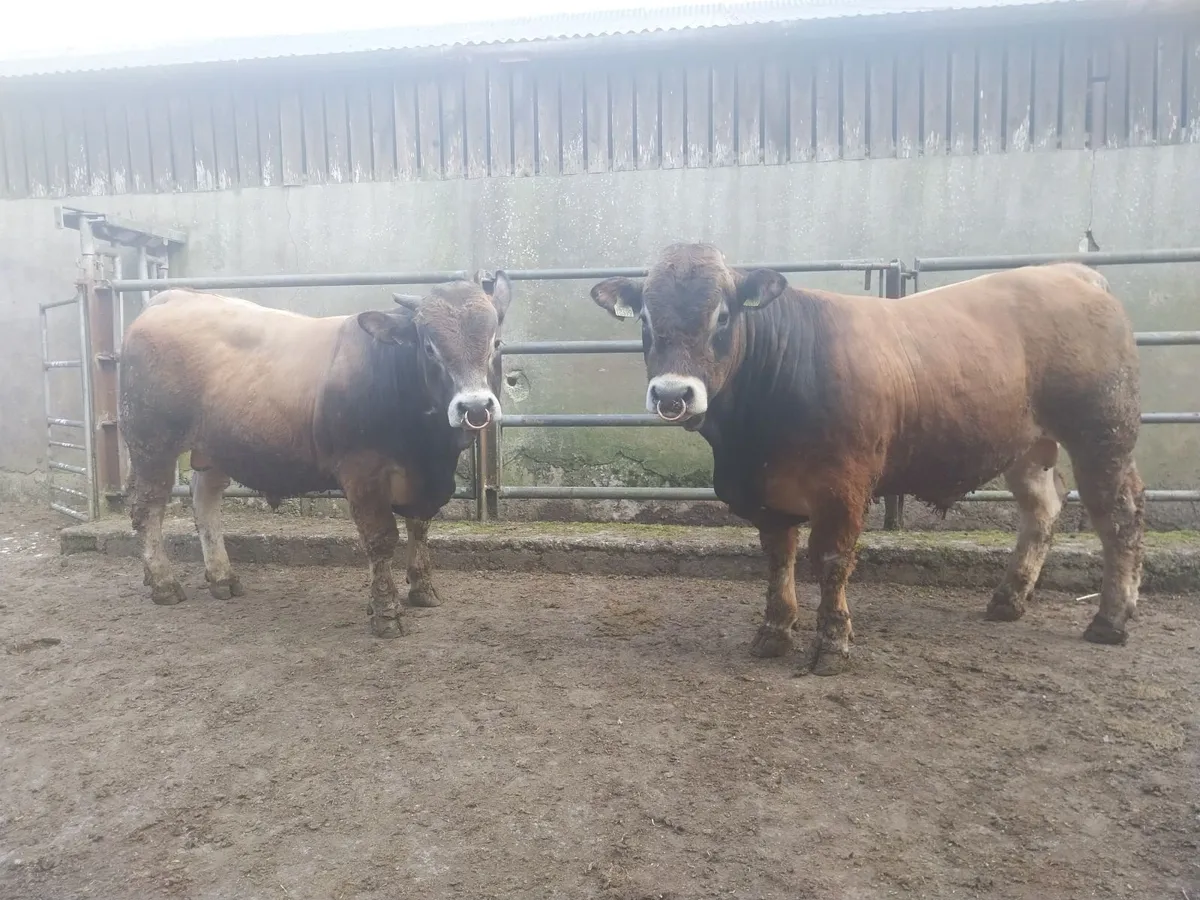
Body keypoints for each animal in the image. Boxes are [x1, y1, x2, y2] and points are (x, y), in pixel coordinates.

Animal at [119, 273, 514, 638]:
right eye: (430, 347)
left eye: (496, 343)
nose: (474, 407)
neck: (428, 449)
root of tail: (172, 297)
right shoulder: (362, 472)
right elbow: (381, 539)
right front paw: (385, 612)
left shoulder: (424, 479)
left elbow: (420, 526)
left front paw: (422, 588)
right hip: (150, 441)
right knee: (147, 508)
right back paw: (164, 584)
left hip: (216, 448)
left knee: (205, 503)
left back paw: (222, 578)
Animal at [590, 243, 1143, 676]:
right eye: (645, 319)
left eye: (722, 316)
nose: (672, 394)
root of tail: (1071, 272)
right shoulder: (768, 496)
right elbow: (779, 557)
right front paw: (774, 631)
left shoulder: (844, 487)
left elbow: (832, 560)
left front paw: (832, 643)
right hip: (1028, 447)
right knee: (1042, 509)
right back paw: (1008, 600)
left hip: (1104, 435)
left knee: (1119, 516)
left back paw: (1110, 619)